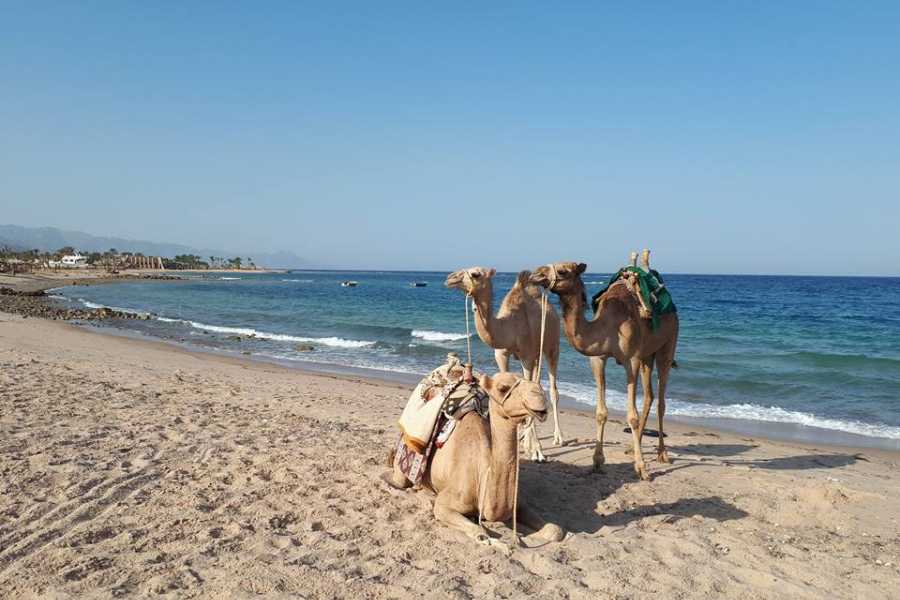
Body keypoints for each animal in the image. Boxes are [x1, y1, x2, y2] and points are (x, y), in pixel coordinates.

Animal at [384, 372, 568, 556]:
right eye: (502, 388)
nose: (539, 395)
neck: (482, 475)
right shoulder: (444, 503)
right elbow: (480, 532)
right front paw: (500, 544)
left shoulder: (519, 503)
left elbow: (555, 530)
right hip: (402, 467)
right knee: (395, 480)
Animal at [444, 268, 564, 460]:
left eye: (476, 274)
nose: (450, 278)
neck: (509, 327)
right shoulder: (501, 355)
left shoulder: (527, 357)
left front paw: (536, 450)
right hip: (537, 355)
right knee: (537, 383)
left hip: (552, 347)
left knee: (552, 390)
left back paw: (558, 438)